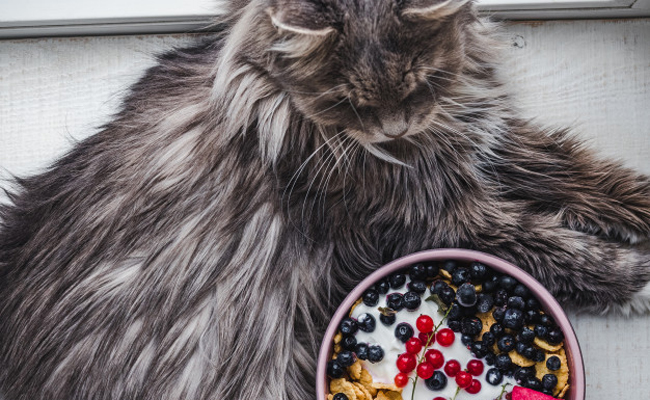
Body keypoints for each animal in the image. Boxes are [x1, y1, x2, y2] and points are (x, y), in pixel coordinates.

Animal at [1, 0, 648, 400]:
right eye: (346, 102)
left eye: (421, 80)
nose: (393, 127)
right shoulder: (446, 217)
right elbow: (554, 242)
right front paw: (635, 277)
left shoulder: (481, 143)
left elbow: (574, 172)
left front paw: (637, 205)